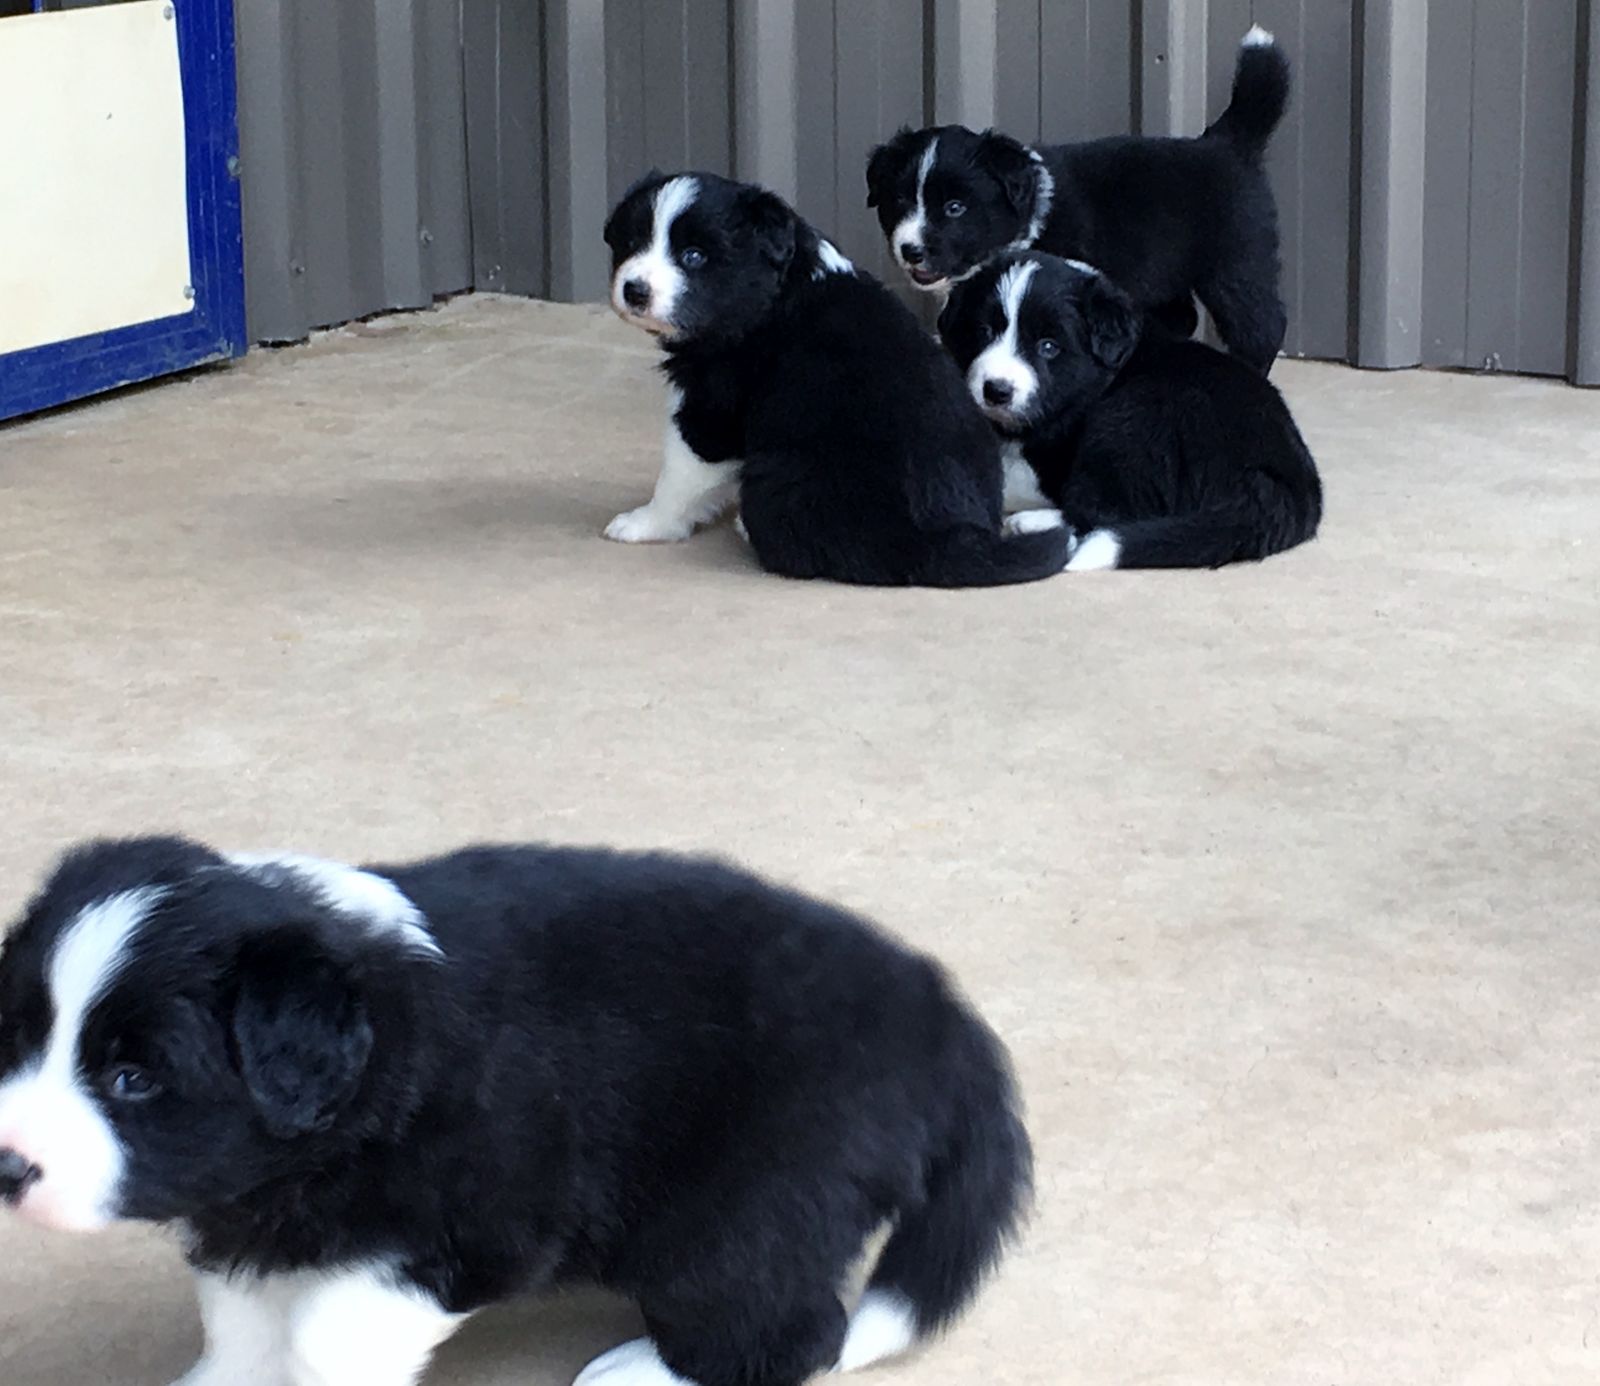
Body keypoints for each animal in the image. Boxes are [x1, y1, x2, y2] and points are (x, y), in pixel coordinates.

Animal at [0, 835, 1031, 1386]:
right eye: (19, 1036)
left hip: (742, 1217)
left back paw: (641, 1374)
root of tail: (937, 1015)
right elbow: (242, 1322)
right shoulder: (252, 1222)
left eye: (133, 1078)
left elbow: (324, 1332)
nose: (8, 1167)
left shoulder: (471, 1228)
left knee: (795, 1329)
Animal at [600, 170, 1072, 586]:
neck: (770, 288)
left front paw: (645, 524)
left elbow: (680, 473)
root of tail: (941, 542)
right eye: (632, 242)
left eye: (693, 256)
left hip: (780, 477)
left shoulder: (710, 405)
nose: (634, 290)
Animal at [866, 27, 1291, 373]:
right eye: (899, 200)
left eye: (955, 208)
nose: (910, 250)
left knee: (1261, 327)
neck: (1027, 215)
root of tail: (1226, 142)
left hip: (1236, 262)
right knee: (1183, 315)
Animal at [938, 251, 1322, 571]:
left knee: (1111, 511)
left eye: (1048, 346)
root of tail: (1285, 487)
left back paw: (1030, 523)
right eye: (983, 331)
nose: (996, 390)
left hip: (1131, 418)